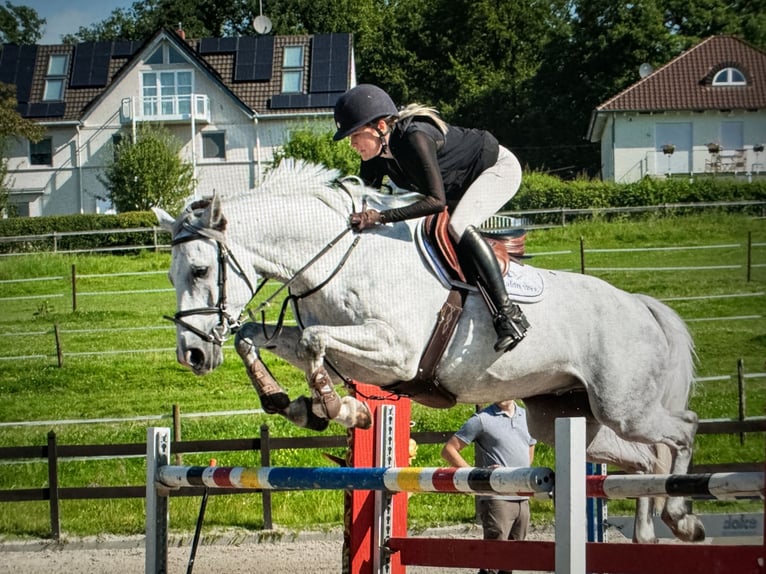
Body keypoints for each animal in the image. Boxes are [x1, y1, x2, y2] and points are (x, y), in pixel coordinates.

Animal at [156, 161, 708, 544]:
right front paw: (297, 404)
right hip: (566, 417)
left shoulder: (396, 352)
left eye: (201, 270)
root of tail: (639, 305)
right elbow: (254, 334)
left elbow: (314, 343)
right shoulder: (350, 348)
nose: (192, 356)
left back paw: (682, 516)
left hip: (624, 405)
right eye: (172, 275)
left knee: (682, 429)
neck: (340, 259)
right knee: (643, 459)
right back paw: (650, 530)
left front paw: (334, 407)